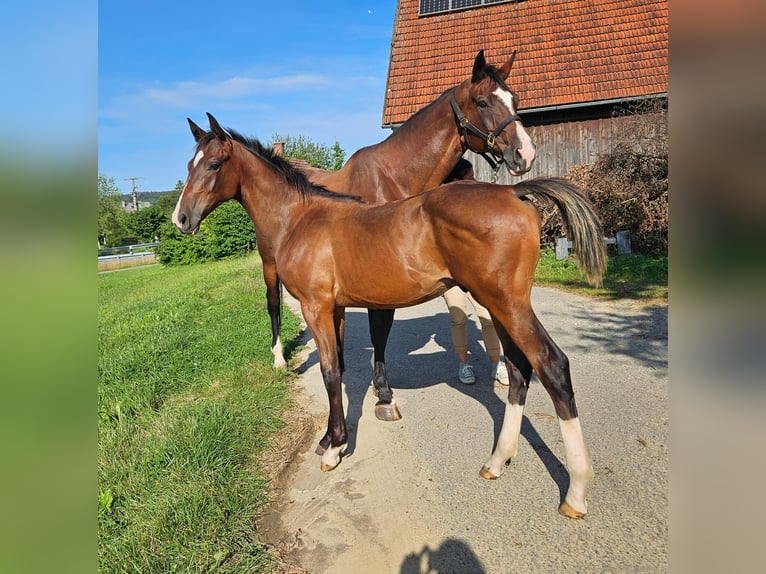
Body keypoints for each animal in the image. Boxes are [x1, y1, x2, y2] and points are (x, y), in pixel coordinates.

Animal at [172, 115, 608, 520]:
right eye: (188, 164)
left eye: (213, 164)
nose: (181, 219)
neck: (301, 218)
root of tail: (513, 191)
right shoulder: (335, 308)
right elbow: (340, 368)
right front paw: (331, 438)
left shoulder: (316, 307)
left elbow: (330, 371)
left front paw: (333, 448)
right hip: (500, 304)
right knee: (519, 369)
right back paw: (497, 461)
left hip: (508, 303)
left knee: (551, 364)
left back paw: (575, 493)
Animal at [258, 49, 536, 424]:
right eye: (483, 102)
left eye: (515, 99)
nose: (526, 153)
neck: (391, 177)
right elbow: (379, 332)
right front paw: (382, 394)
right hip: (269, 265)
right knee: (273, 303)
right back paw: (277, 358)